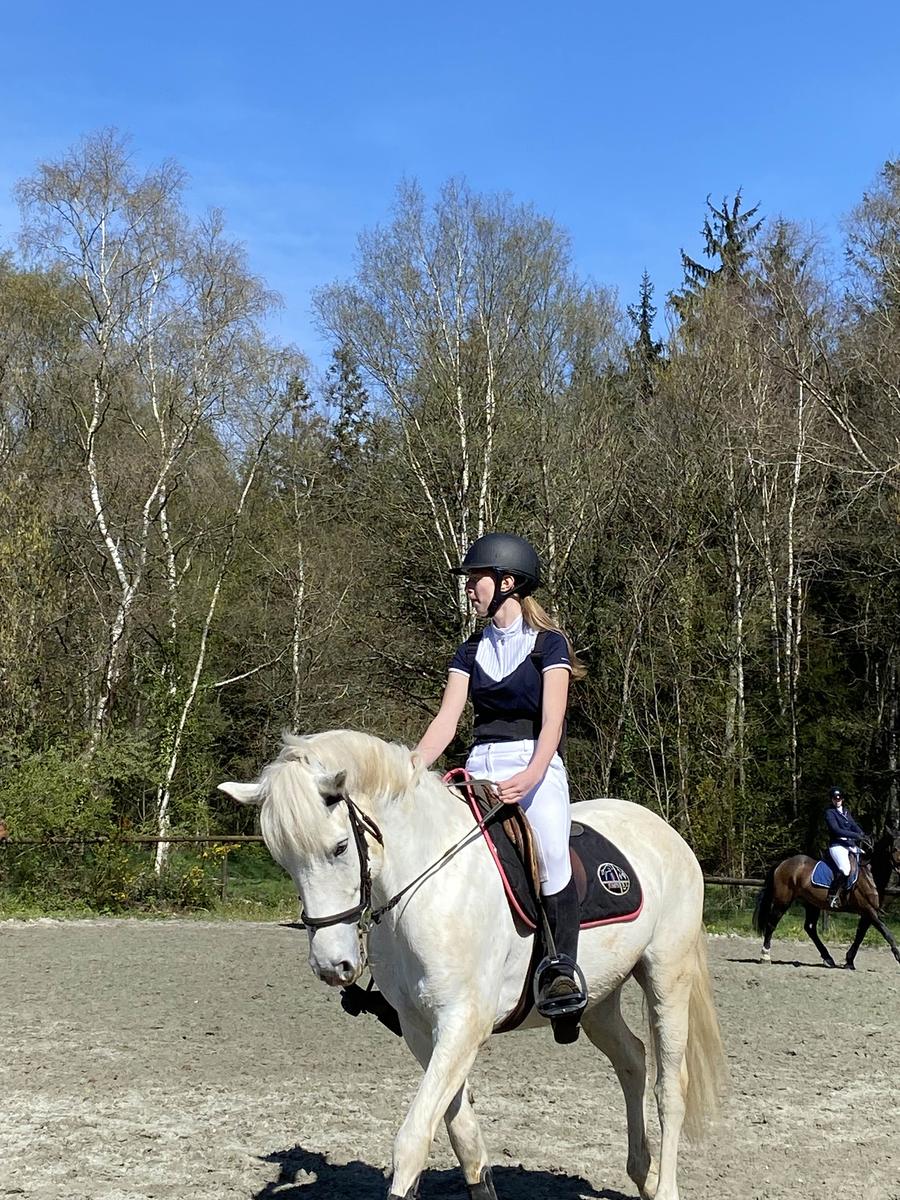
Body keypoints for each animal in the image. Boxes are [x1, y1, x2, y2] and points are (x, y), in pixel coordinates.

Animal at [219, 730, 724, 1200]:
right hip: (599, 997)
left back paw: (665, 1186)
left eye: (341, 847)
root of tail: (662, 829)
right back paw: (643, 1174)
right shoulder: (421, 1028)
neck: (422, 881)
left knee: (669, 1087)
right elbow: (461, 1132)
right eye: (283, 860)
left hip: (666, 976)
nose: (331, 965)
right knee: (632, 1060)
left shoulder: (464, 1021)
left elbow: (413, 1138)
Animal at [752, 827, 900, 969]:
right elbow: (885, 932)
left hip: (812, 904)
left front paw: (849, 961)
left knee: (810, 928)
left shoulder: (868, 912)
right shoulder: (868, 909)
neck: (870, 873)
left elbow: (860, 934)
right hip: (783, 901)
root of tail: (783, 863)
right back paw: (765, 956)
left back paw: (828, 958)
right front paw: (898, 956)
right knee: (771, 923)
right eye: (895, 849)